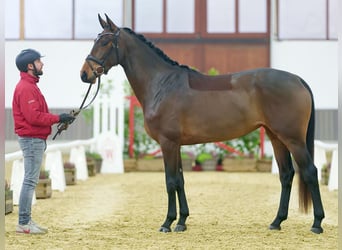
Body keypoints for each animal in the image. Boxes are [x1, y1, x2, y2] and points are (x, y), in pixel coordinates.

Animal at [79, 14, 324, 234]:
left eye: (104, 42)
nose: (84, 74)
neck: (162, 84)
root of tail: (297, 80)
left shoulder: (168, 143)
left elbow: (170, 181)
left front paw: (167, 223)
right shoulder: (176, 144)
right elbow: (180, 180)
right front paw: (181, 222)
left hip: (293, 139)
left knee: (310, 172)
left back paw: (317, 224)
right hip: (276, 137)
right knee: (286, 175)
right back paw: (276, 222)